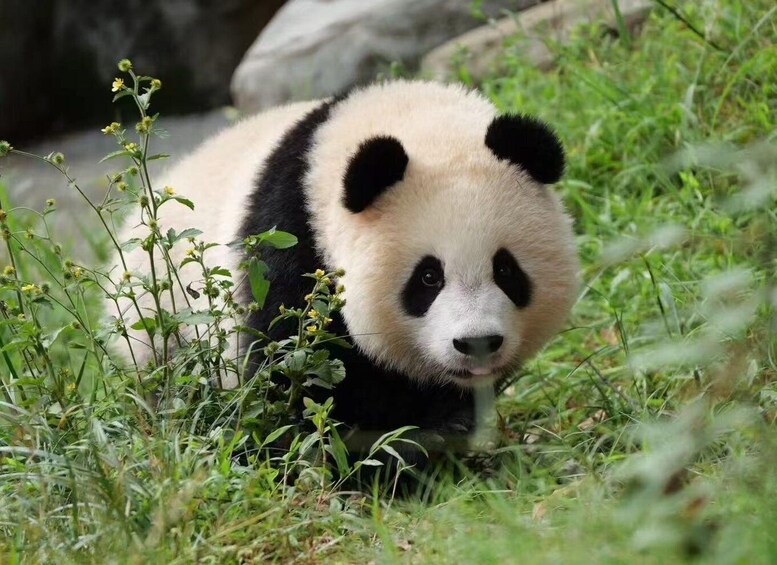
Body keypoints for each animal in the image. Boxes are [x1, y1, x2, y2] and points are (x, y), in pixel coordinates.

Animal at [111, 80, 579, 453]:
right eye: (428, 277)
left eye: (506, 271)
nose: (477, 342)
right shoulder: (287, 238)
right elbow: (293, 369)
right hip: (163, 326)